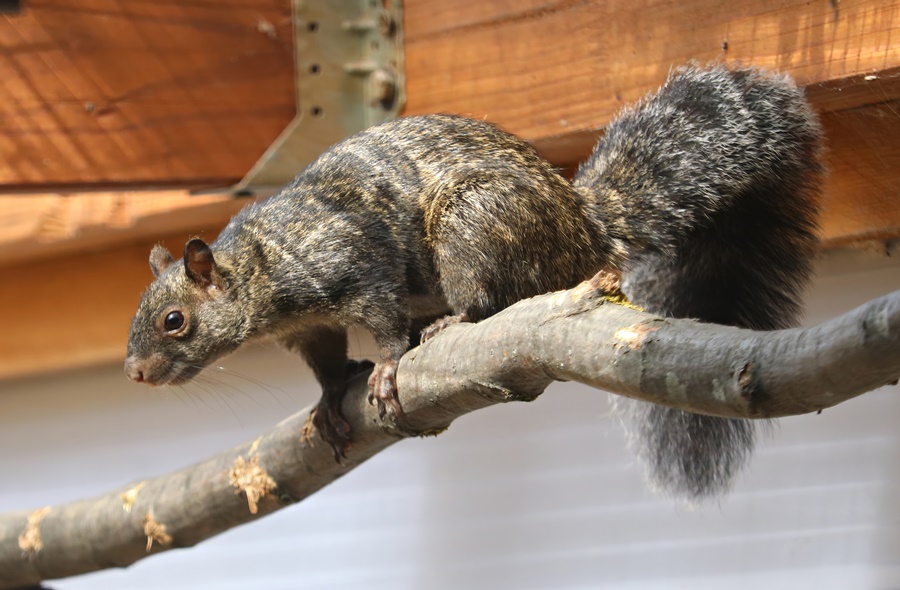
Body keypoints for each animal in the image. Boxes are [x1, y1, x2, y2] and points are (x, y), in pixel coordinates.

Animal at [125, 63, 823, 501]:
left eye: (174, 321)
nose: (135, 373)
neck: (266, 258)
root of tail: (587, 231)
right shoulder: (313, 327)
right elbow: (325, 361)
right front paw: (327, 401)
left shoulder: (356, 263)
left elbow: (382, 319)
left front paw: (385, 367)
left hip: (474, 222)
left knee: (489, 298)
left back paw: (448, 322)